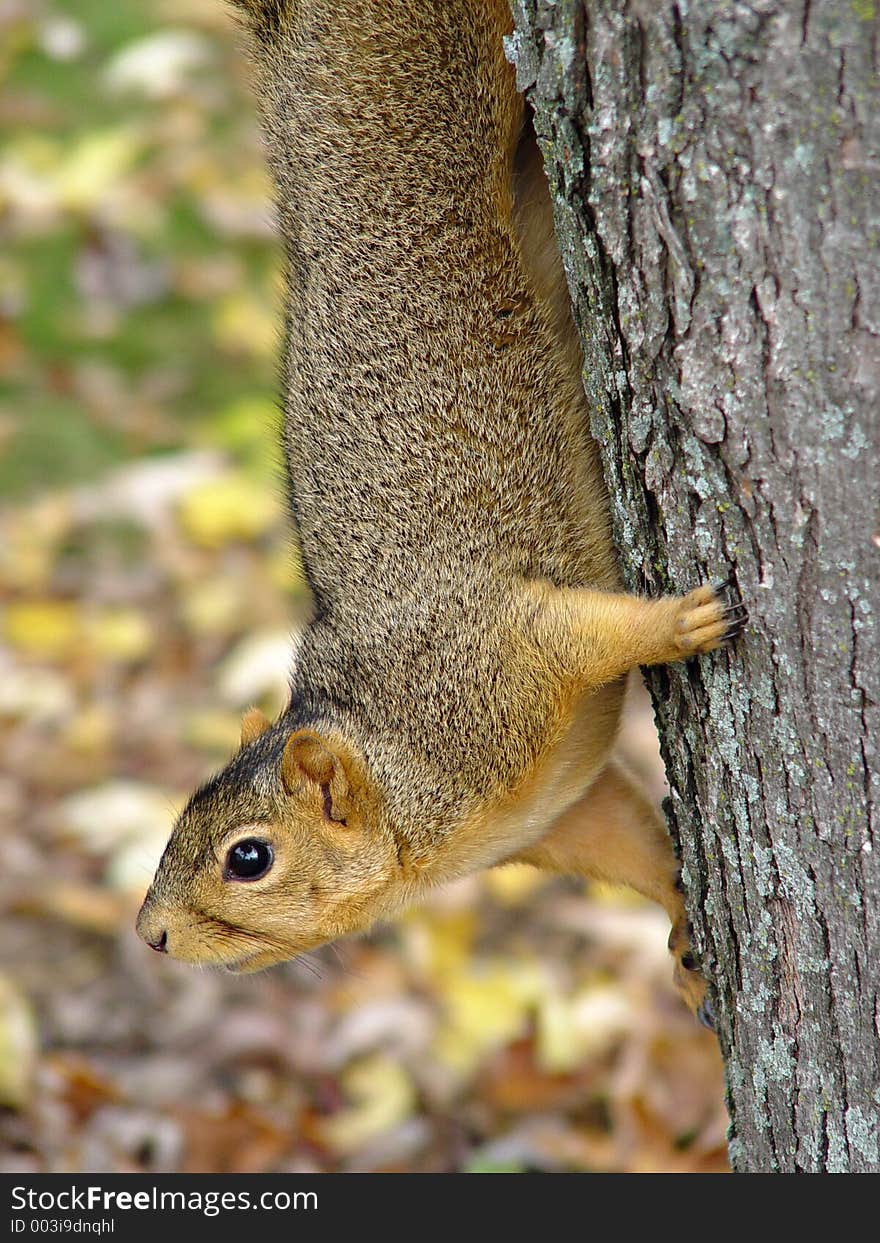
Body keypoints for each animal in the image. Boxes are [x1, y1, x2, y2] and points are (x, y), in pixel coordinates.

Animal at [134, 2, 745, 1029]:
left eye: (247, 857)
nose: (151, 936)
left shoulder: (492, 657)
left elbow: (583, 631)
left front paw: (683, 621)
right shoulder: (561, 810)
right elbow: (630, 838)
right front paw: (682, 931)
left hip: (437, 86)